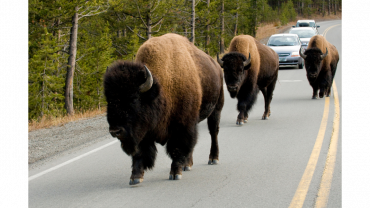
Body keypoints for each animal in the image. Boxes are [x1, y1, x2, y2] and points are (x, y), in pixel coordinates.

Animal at [105, 33, 225, 186]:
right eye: (109, 100)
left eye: (134, 99)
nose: (115, 131)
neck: (160, 89)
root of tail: (216, 66)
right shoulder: (142, 132)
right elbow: (139, 153)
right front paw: (135, 177)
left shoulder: (181, 127)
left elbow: (176, 149)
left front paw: (175, 173)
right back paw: (188, 164)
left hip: (216, 108)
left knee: (213, 132)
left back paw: (213, 158)